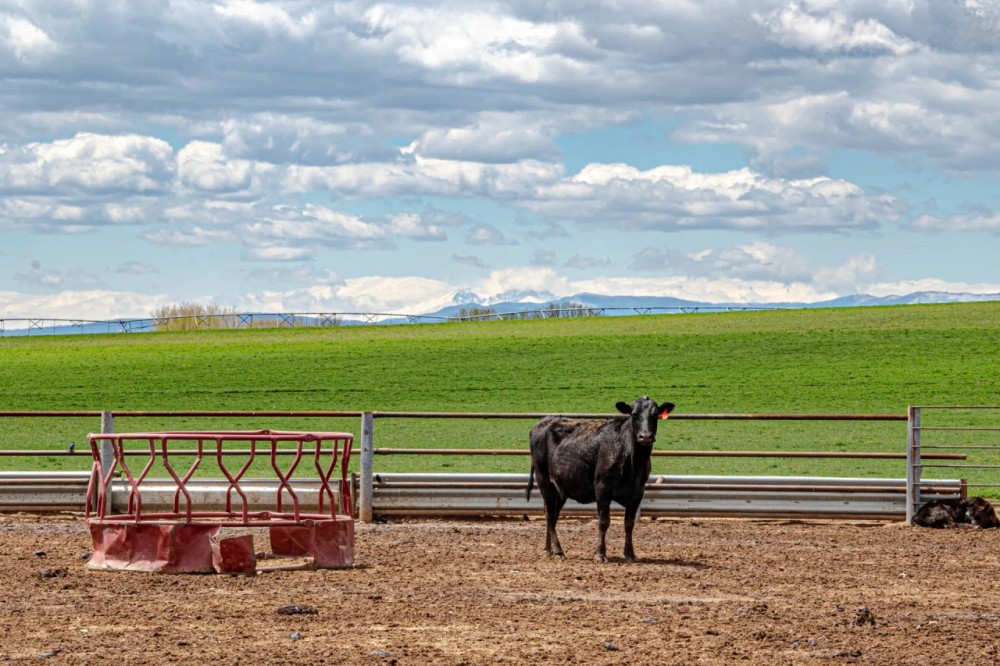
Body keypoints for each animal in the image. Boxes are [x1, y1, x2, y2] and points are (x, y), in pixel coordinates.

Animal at [526, 396, 675, 562]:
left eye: (655, 415)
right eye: (634, 414)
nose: (646, 436)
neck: (631, 461)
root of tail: (544, 421)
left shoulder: (638, 492)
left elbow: (629, 523)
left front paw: (629, 554)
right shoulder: (602, 489)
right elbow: (603, 522)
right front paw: (600, 553)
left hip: (560, 488)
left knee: (551, 514)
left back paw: (549, 549)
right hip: (545, 481)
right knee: (550, 516)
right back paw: (558, 551)